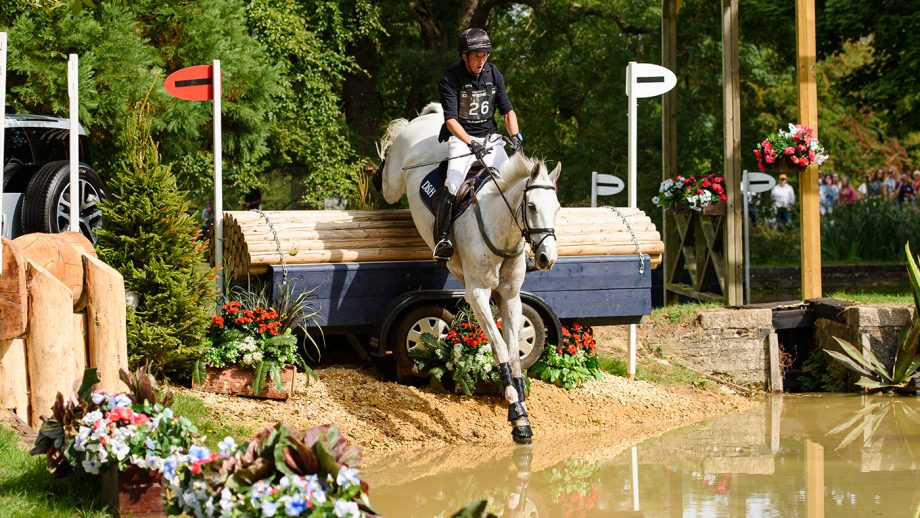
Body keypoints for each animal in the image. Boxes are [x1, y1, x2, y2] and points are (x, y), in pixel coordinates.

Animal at [378, 102, 561, 444]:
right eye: (530, 206)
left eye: (556, 208)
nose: (547, 258)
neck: (502, 231)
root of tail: (431, 119)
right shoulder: (477, 293)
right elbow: (499, 346)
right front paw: (514, 411)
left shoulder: (510, 297)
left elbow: (514, 351)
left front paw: (522, 414)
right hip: (396, 179)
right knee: (386, 174)